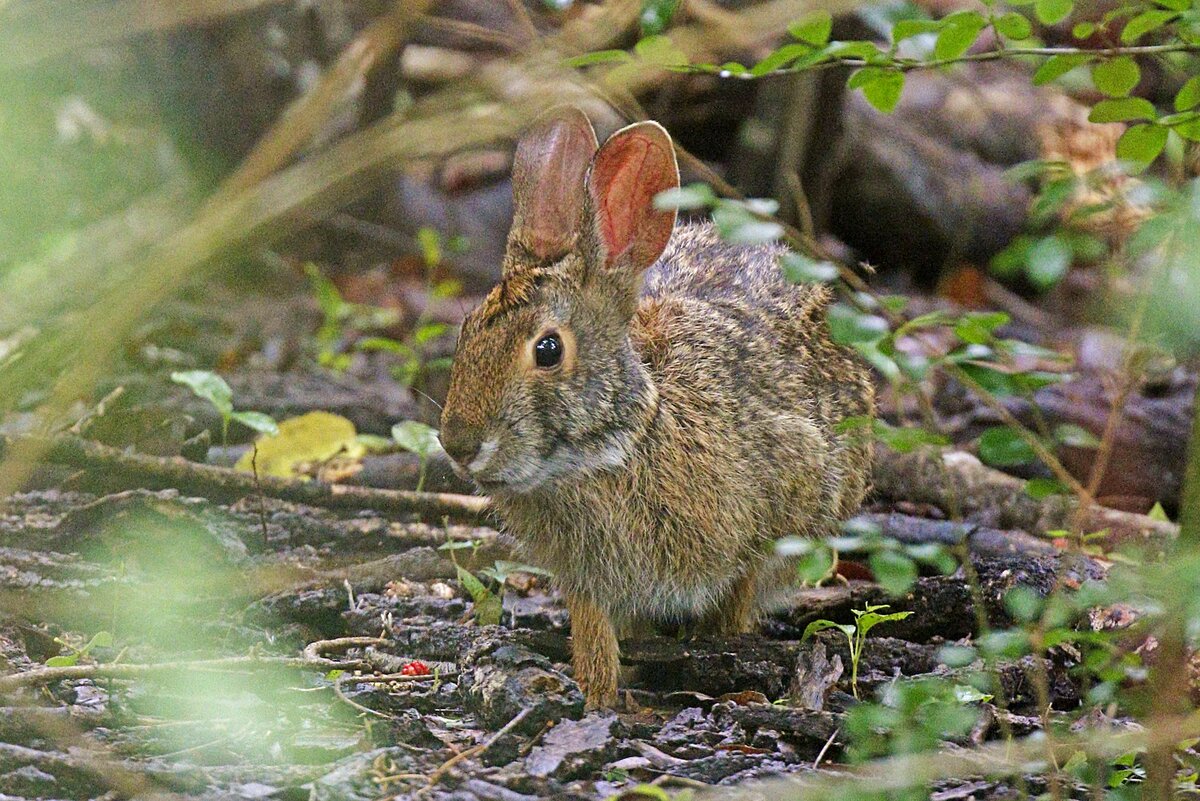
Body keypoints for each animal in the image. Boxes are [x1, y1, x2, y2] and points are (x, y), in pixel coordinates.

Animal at [439, 104, 873, 705]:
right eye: (465, 334)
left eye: (548, 350)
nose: (457, 444)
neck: (621, 441)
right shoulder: (586, 575)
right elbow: (593, 633)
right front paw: (600, 697)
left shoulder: (785, 495)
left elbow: (740, 589)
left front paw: (716, 647)